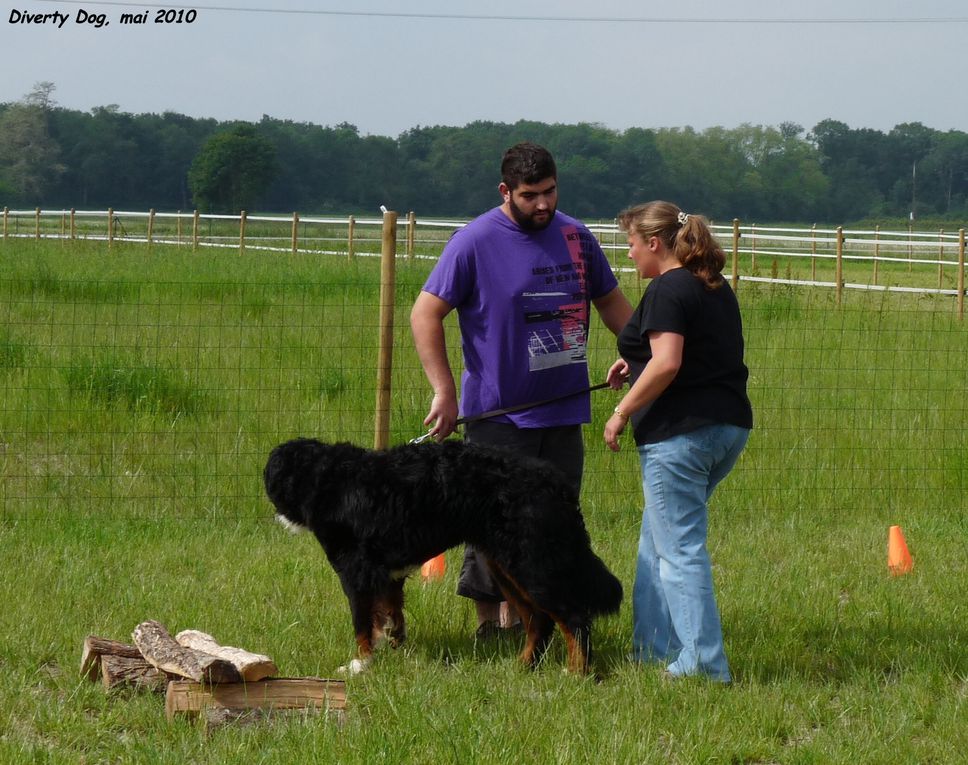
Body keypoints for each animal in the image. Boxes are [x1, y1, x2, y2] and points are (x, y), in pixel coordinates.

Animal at [264, 436, 620, 676]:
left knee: (574, 618)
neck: (330, 480)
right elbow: (390, 612)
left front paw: (360, 664)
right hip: (505, 565)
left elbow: (362, 624)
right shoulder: (386, 575)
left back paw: (577, 673)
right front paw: (394, 645)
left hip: (532, 563)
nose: (277, 517)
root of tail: (555, 482)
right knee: (539, 621)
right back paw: (522, 667)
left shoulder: (357, 573)